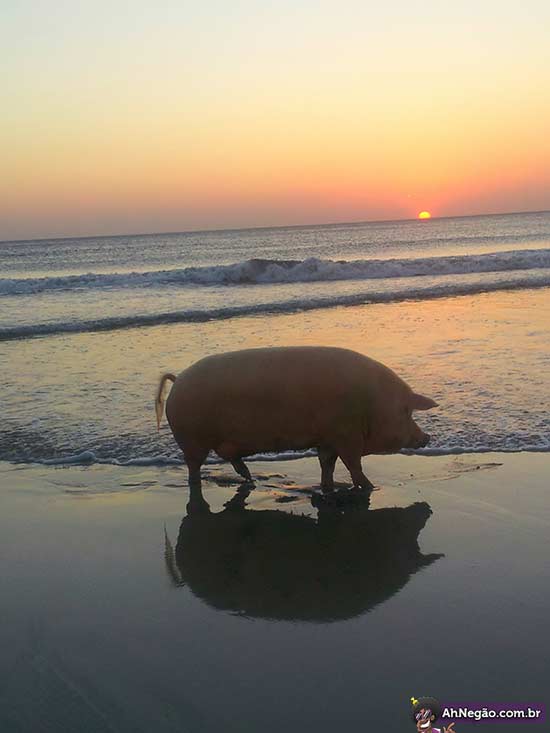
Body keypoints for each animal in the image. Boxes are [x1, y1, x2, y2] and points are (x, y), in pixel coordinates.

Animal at [155, 346, 437, 492]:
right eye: (406, 411)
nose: (427, 437)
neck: (371, 405)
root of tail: (177, 380)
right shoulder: (345, 436)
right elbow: (353, 465)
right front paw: (369, 487)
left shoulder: (327, 439)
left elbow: (327, 465)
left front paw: (328, 487)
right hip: (191, 439)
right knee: (194, 467)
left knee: (234, 462)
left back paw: (251, 479)